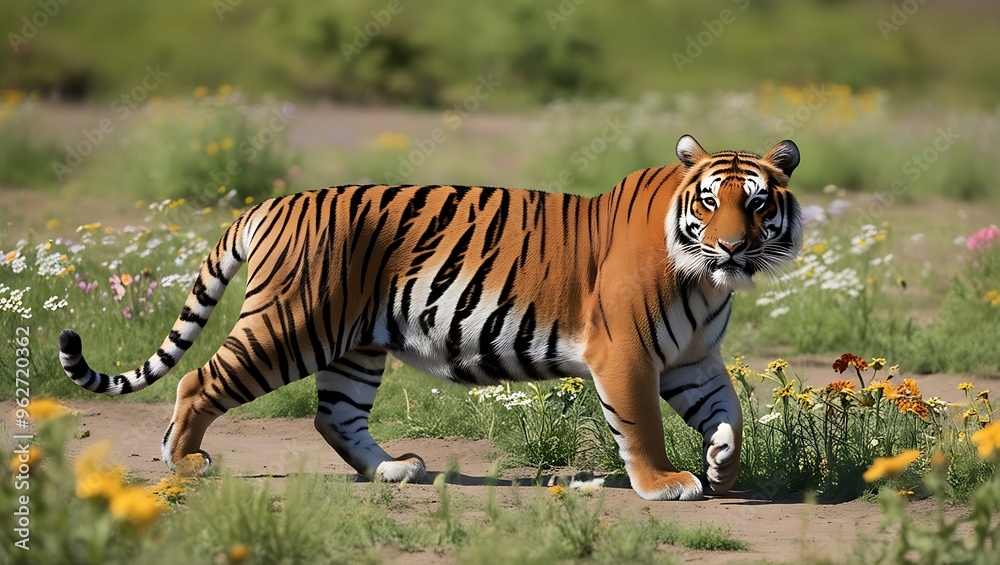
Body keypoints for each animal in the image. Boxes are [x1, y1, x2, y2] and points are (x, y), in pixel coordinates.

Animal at [59, 135, 801, 501]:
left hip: (352, 346)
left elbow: (730, 411)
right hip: (290, 327)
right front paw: (666, 484)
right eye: (709, 202)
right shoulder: (627, 355)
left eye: (758, 203)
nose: (732, 247)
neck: (705, 284)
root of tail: (271, 201)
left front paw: (722, 467)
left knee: (334, 416)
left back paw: (394, 470)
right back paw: (185, 461)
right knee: (199, 381)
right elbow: (640, 424)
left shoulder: (691, 359)